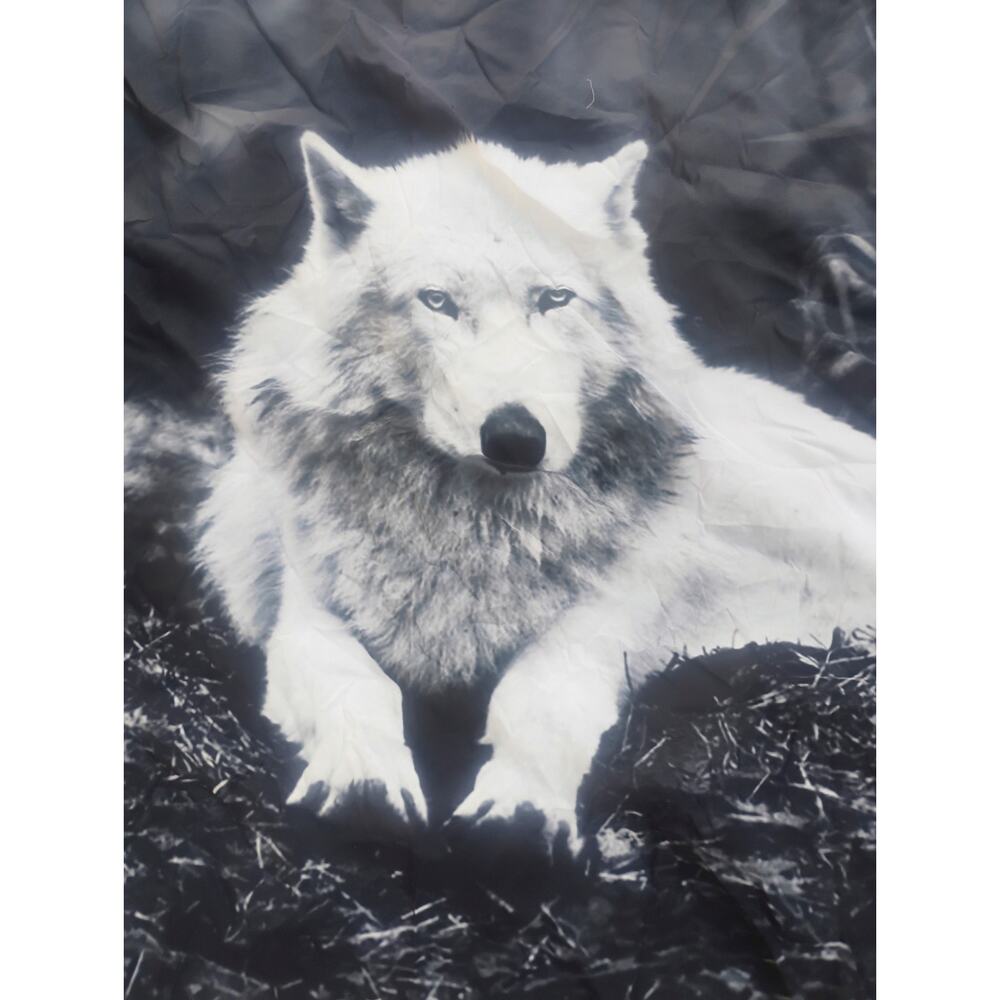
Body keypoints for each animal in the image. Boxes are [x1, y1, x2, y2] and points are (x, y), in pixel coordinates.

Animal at [195, 131, 874, 852]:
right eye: (437, 301)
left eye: (554, 299)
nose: (516, 437)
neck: (475, 533)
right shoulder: (305, 613)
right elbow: (357, 685)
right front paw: (362, 781)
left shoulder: (601, 623)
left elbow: (537, 699)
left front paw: (519, 808)